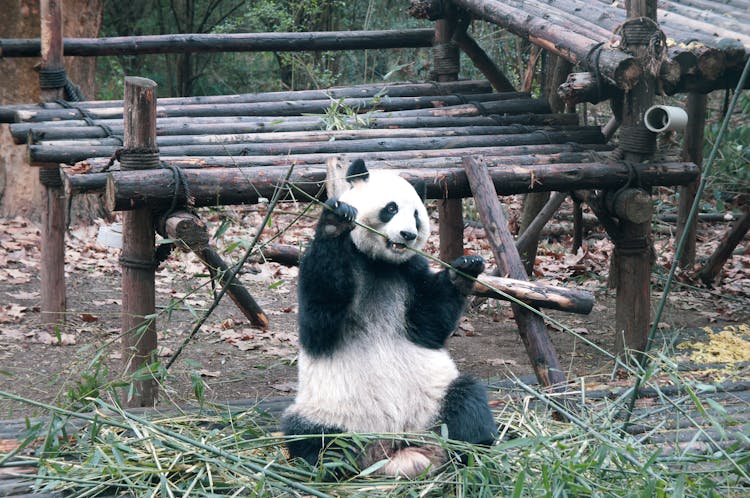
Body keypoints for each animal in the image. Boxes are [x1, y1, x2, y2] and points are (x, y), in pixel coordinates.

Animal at [282, 160, 500, 478]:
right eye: (391, 208)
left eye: (417, 216)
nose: (407, 235)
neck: (379, 263)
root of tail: (393, 451)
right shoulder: (333, 265)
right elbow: (320, 318)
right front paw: (336, 222)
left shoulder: (410, 272)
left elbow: (430, 322)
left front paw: (465, 269)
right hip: (331, 413)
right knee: (311, 437)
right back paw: (331, 468)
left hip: (434, 402)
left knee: (467, 403)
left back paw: (474, 456)